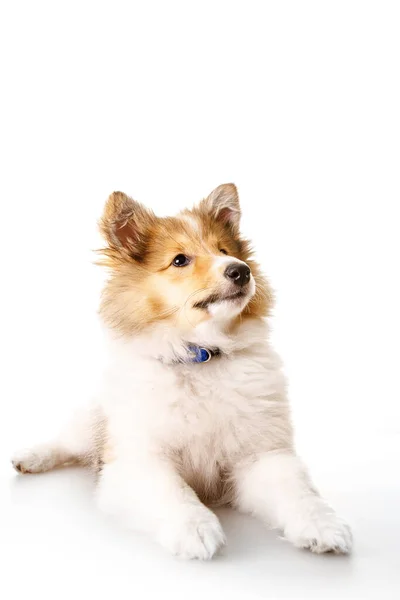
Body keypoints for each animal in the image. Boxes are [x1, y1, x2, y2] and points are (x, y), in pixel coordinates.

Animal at [10, 185, 352, 560]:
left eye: (224, 251)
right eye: (179, 260)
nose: (241, 270)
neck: (200, 357)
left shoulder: (260, 453)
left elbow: (297, 492)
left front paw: (324, 526)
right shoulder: (138, 458)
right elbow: (174, 491)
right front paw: (196, 531)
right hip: (94, 420)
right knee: (65, 442)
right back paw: (30, 457)